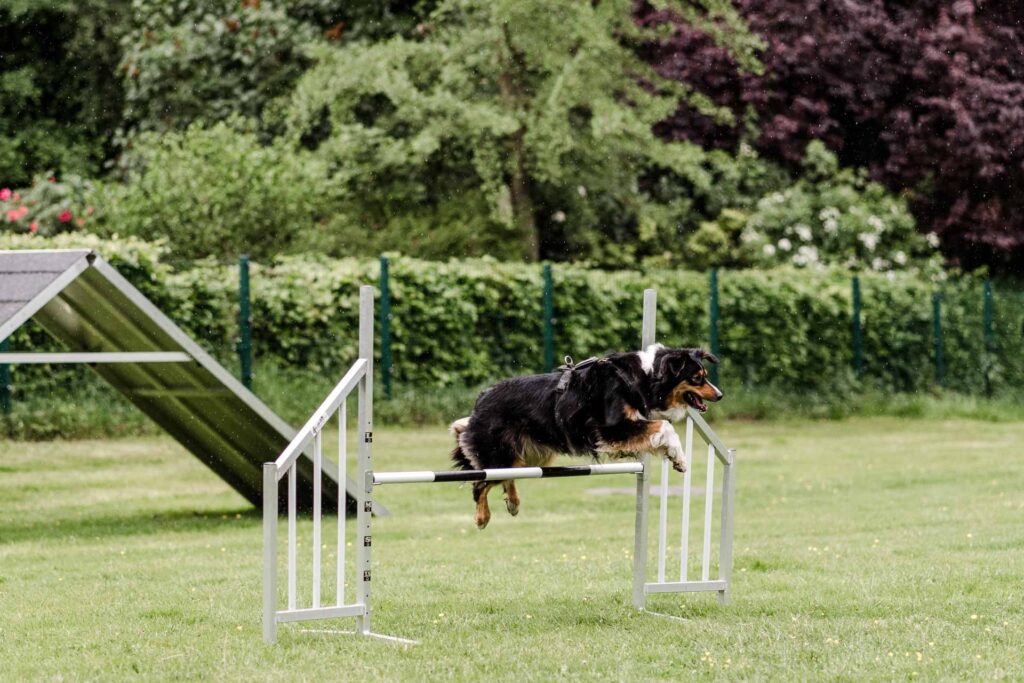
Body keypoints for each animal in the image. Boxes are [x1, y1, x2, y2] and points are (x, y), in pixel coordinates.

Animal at [448, 344, 720, 532]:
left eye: (704, 375)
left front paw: (678, 458)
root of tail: (481, 399)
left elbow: (660, 432)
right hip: (499, 454)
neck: (643, 377)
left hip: (535, 455)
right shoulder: (612, 429)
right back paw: (482, 517)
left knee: (509, 476)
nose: (720, 394)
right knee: (481, 483)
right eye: (697, 377)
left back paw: (513, 502)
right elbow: (665, 426)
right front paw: (678, 456)